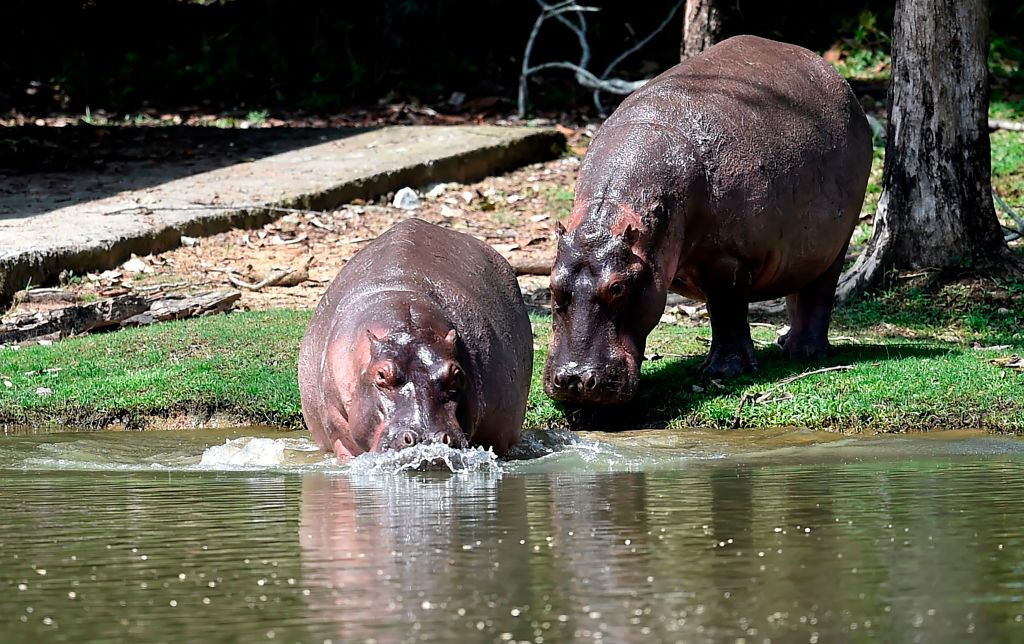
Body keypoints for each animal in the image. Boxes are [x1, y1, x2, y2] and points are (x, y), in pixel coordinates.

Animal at [544, 35, 872, 405]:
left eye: (617, 287)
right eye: (551, 285)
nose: (574, 379)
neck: (613, 211)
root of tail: (833, 74)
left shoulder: (727, 259)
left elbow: (727, 311)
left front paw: (724, 372)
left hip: (839, 239)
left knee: (820, 290)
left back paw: (806, 353)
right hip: (804, 247)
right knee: (798, 286)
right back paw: (785, 343)